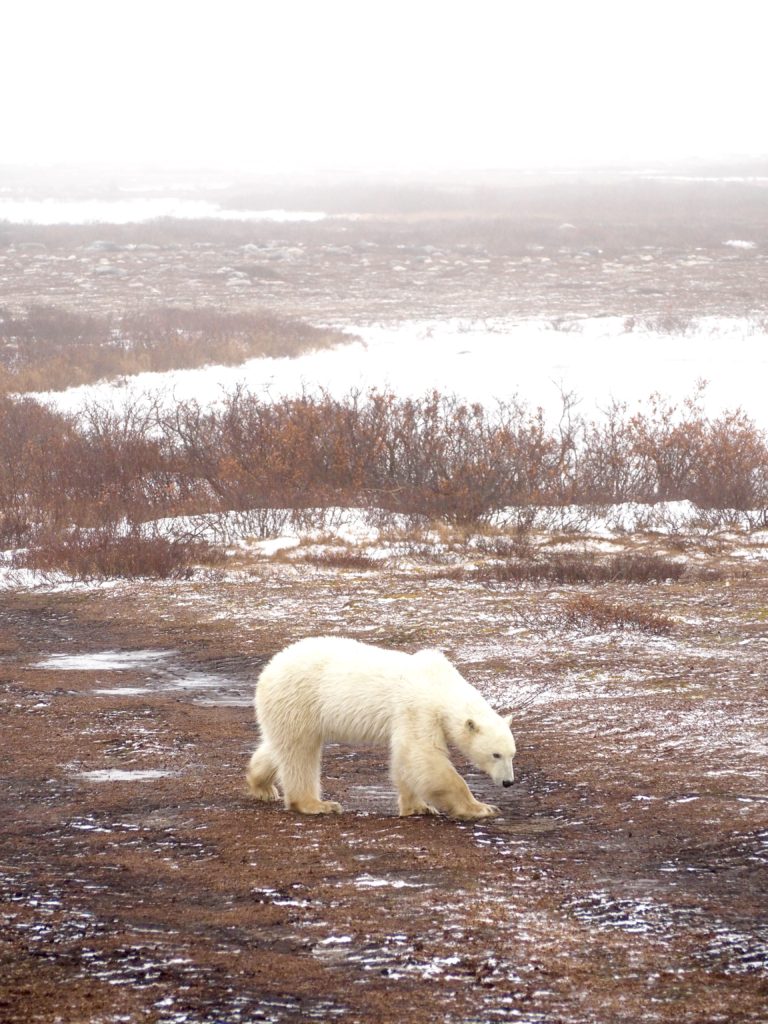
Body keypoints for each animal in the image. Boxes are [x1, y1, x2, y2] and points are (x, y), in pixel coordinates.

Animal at [246, 634, 518, 819]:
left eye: (512, 754)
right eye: (495, 754)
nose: (508, 783)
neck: (440, 683)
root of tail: (270, 667)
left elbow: (405, 760)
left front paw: (418, 807)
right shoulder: (418, 707)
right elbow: (422, 755)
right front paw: (482, 807)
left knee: (281, 746)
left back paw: (262, 786)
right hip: (300, 698)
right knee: (300, 753)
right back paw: (317, 804)